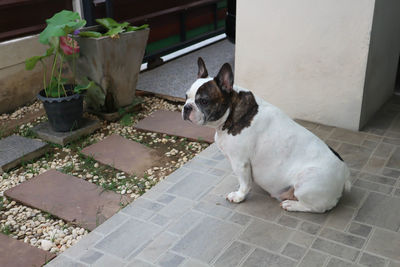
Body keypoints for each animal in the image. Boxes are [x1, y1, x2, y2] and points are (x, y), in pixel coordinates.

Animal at [181, 58, 350, 214]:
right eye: (186, 96)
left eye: (204, 101)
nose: (186, 107)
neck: (232, 112)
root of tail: (344, 176)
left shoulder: (240, 162)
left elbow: (244, 183)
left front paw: (239, 196)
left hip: (306, 183)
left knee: (316, 208)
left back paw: (292, 205)